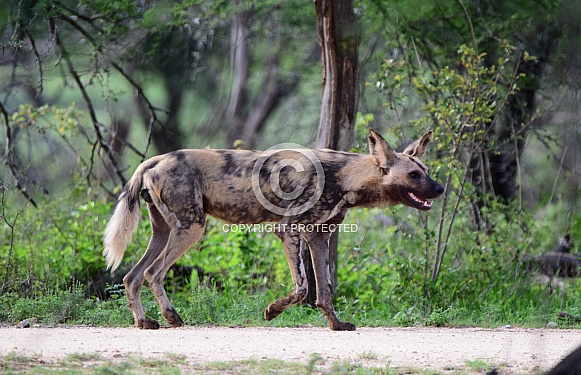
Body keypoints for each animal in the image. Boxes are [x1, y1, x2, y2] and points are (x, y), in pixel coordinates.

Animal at [104, 129, 442, 332]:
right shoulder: (288, 229)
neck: (347, 177)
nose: (440, 188)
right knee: (153, 273)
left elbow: (324, 289)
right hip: (191, 229)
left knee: (132, 276)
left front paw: (335, 325)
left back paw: (144, 322)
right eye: (414, 174)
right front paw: (271, 311)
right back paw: (172, 317)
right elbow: (303, 288)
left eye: (426, 171)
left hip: (164, 232)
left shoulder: (318, 236)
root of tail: (158, 158)